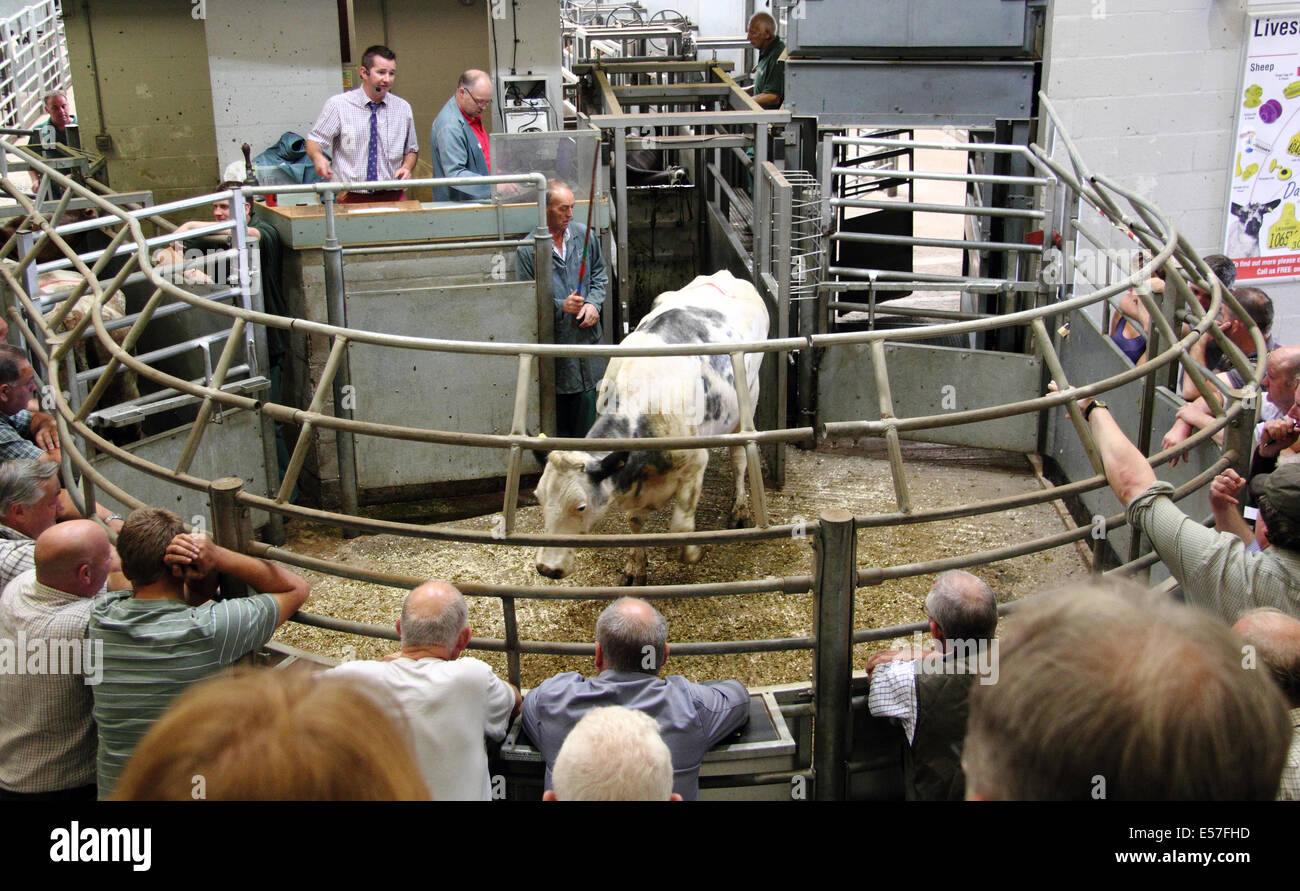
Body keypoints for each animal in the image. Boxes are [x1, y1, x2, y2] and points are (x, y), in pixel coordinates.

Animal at [533, 270, 768, 585]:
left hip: (748, 402)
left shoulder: (696, 461)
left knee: (740, 459)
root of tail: (726, 275)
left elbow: (681, 527)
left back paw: (740, 510)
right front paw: (636, 566)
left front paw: (692, 553)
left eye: (580, 506)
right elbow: (634, 521)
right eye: (539, 497)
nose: (546, 568)